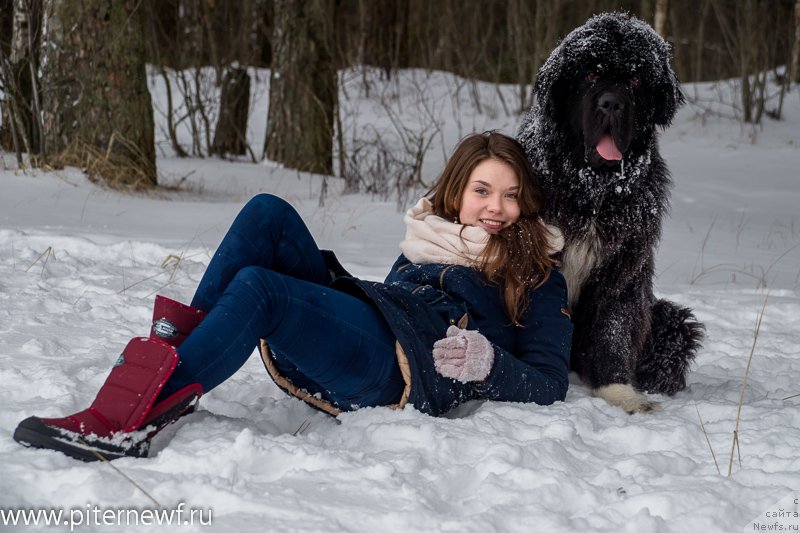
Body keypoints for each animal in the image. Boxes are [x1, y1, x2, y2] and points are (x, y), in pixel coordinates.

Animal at [516, 11, 704, 412]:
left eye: (634, 80)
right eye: (589, 74)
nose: (611, 104)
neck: (594, 192)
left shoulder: (622, 270)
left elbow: (612, 331)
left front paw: (621, 393)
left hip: (670, 322)